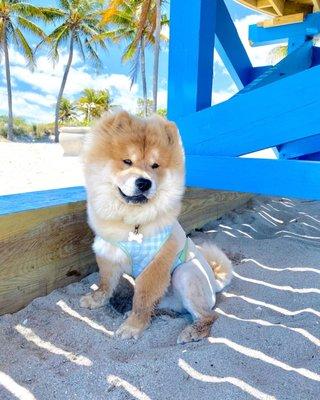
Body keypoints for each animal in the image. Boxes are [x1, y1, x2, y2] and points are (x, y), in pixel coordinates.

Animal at [80, 110, 232, 344]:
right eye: (127, 161)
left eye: (155, 166)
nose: (144, 182)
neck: (133, 223)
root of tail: (214, 284)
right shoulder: (109, 252)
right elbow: (105, 283)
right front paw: (96, 300)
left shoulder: (157, 264)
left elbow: (142, 297)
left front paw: (133, 326)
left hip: (185, 274)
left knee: (209, 315)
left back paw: (191, 332)